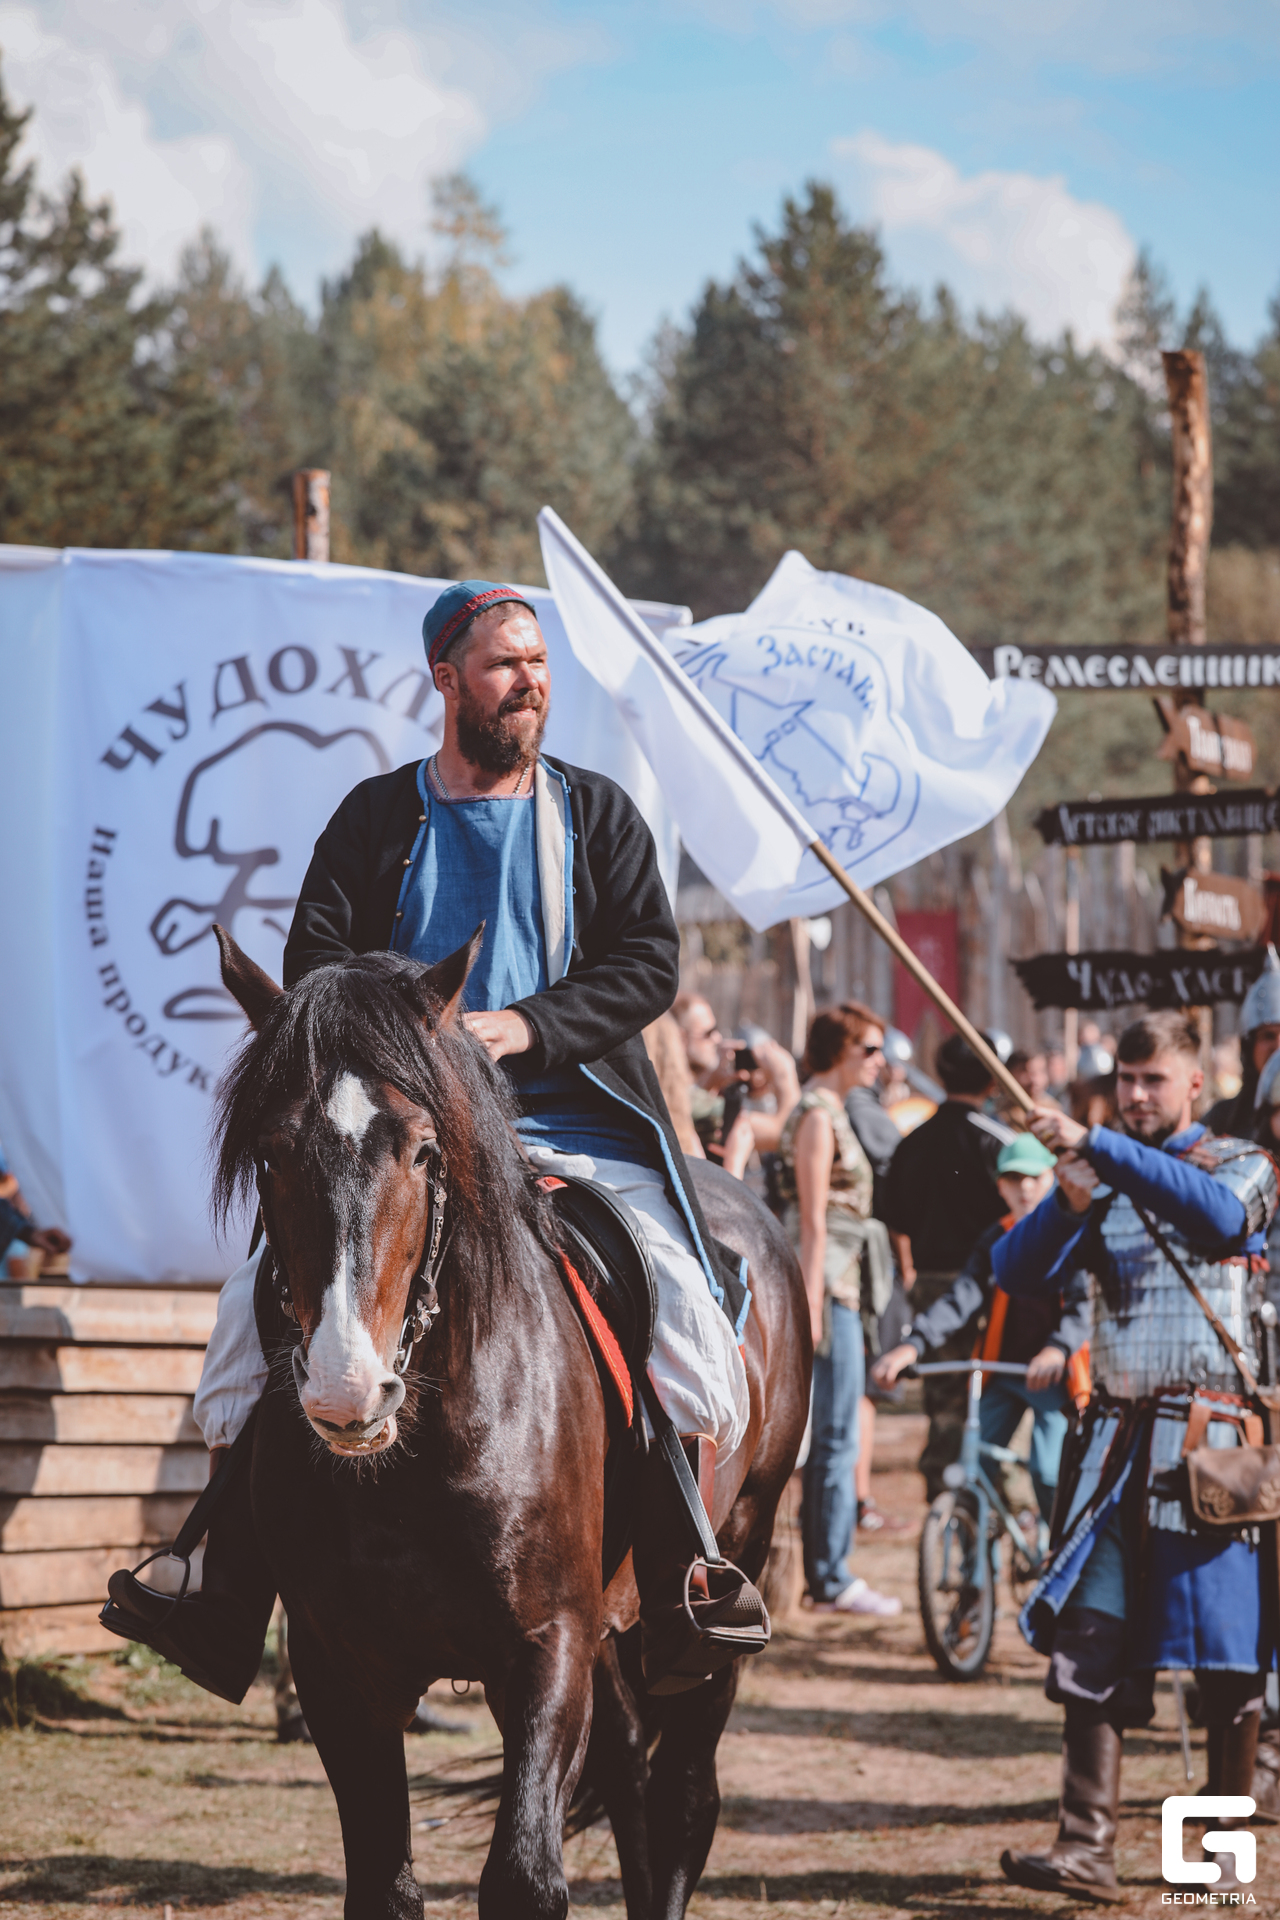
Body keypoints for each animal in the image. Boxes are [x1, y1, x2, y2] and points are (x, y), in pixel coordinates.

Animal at [210, 925, 810, 1920]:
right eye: (270, 1153)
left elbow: (525, 1878)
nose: (345, 1388)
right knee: (632, 1776)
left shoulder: (544, 1649)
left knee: (684, 1793)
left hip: (733, 1560)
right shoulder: (341, 1668)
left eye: (423, 1151)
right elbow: (384, 1884)